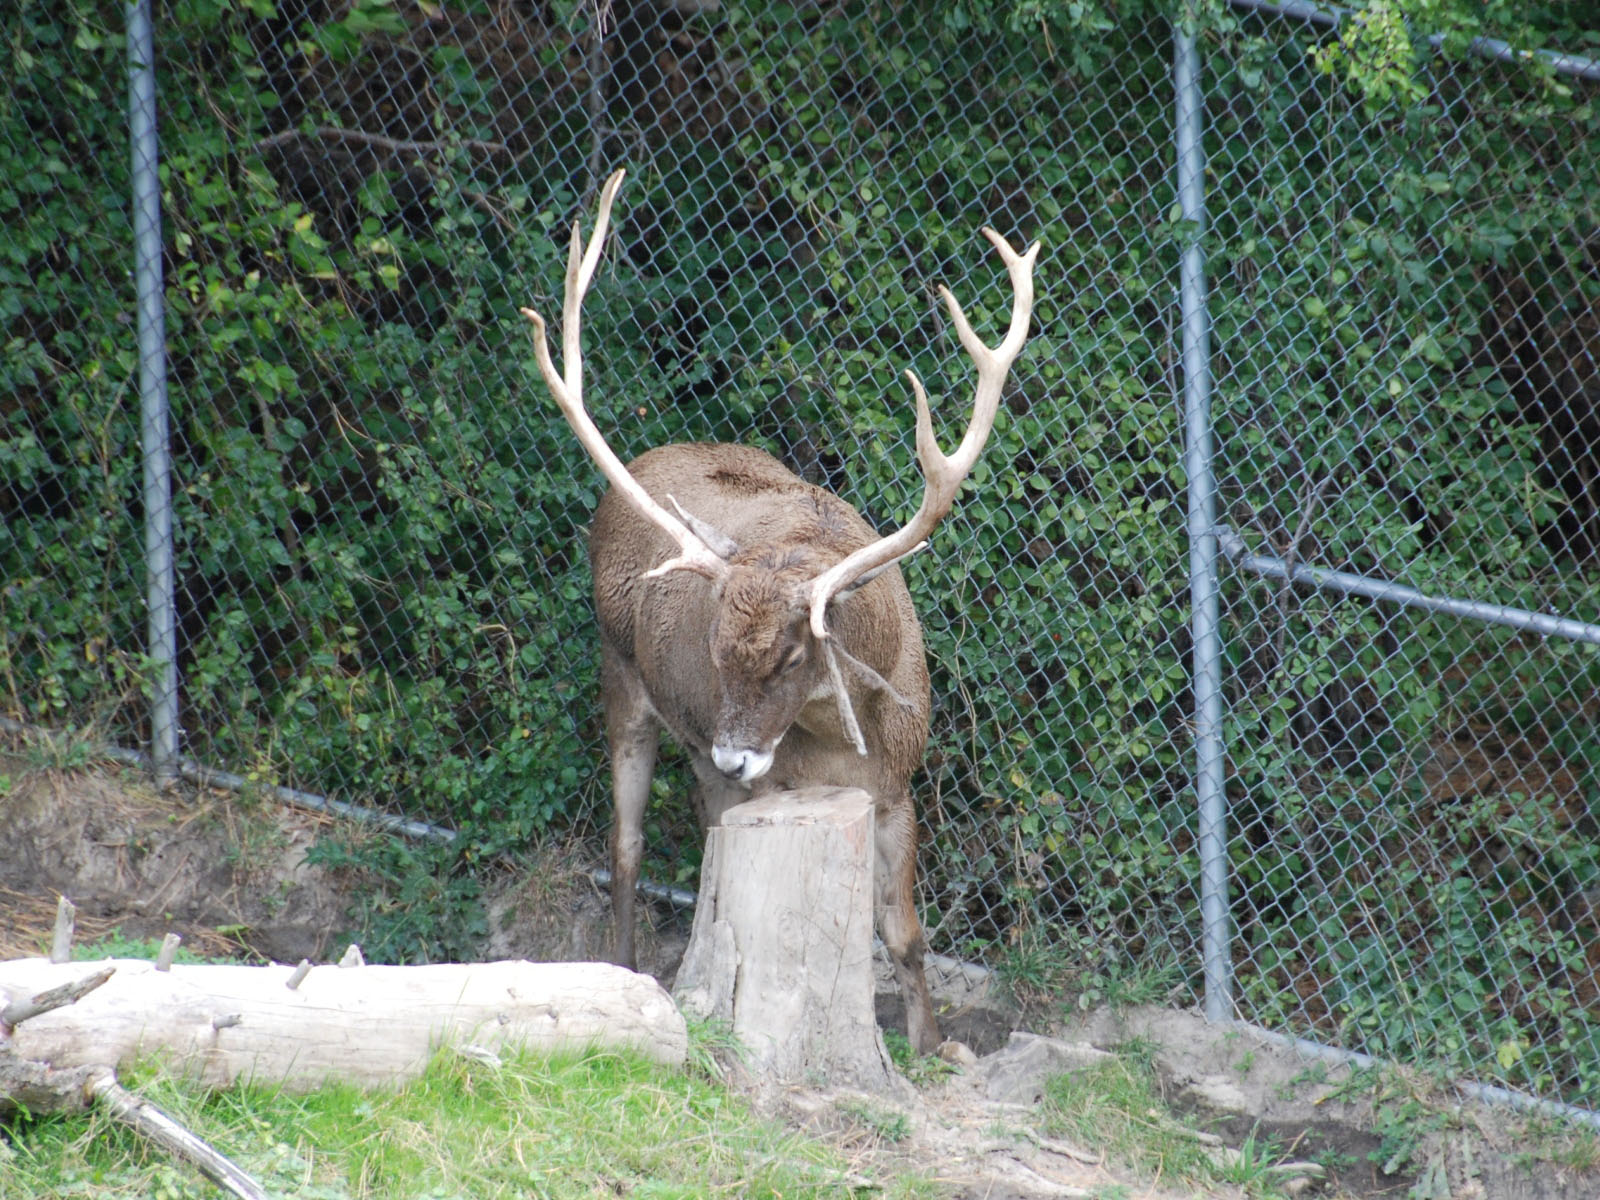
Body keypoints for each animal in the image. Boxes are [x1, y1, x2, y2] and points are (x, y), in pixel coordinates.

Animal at [521, 170, 1037, 1055]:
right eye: (714, 645)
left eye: (795, 655)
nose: (738, 754)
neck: (841, 739)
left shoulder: (898, 786)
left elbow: (905, 934)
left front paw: (929, 1046)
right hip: (622, 678)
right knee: (626, 848)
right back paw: (626, 973)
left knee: (697, 825)